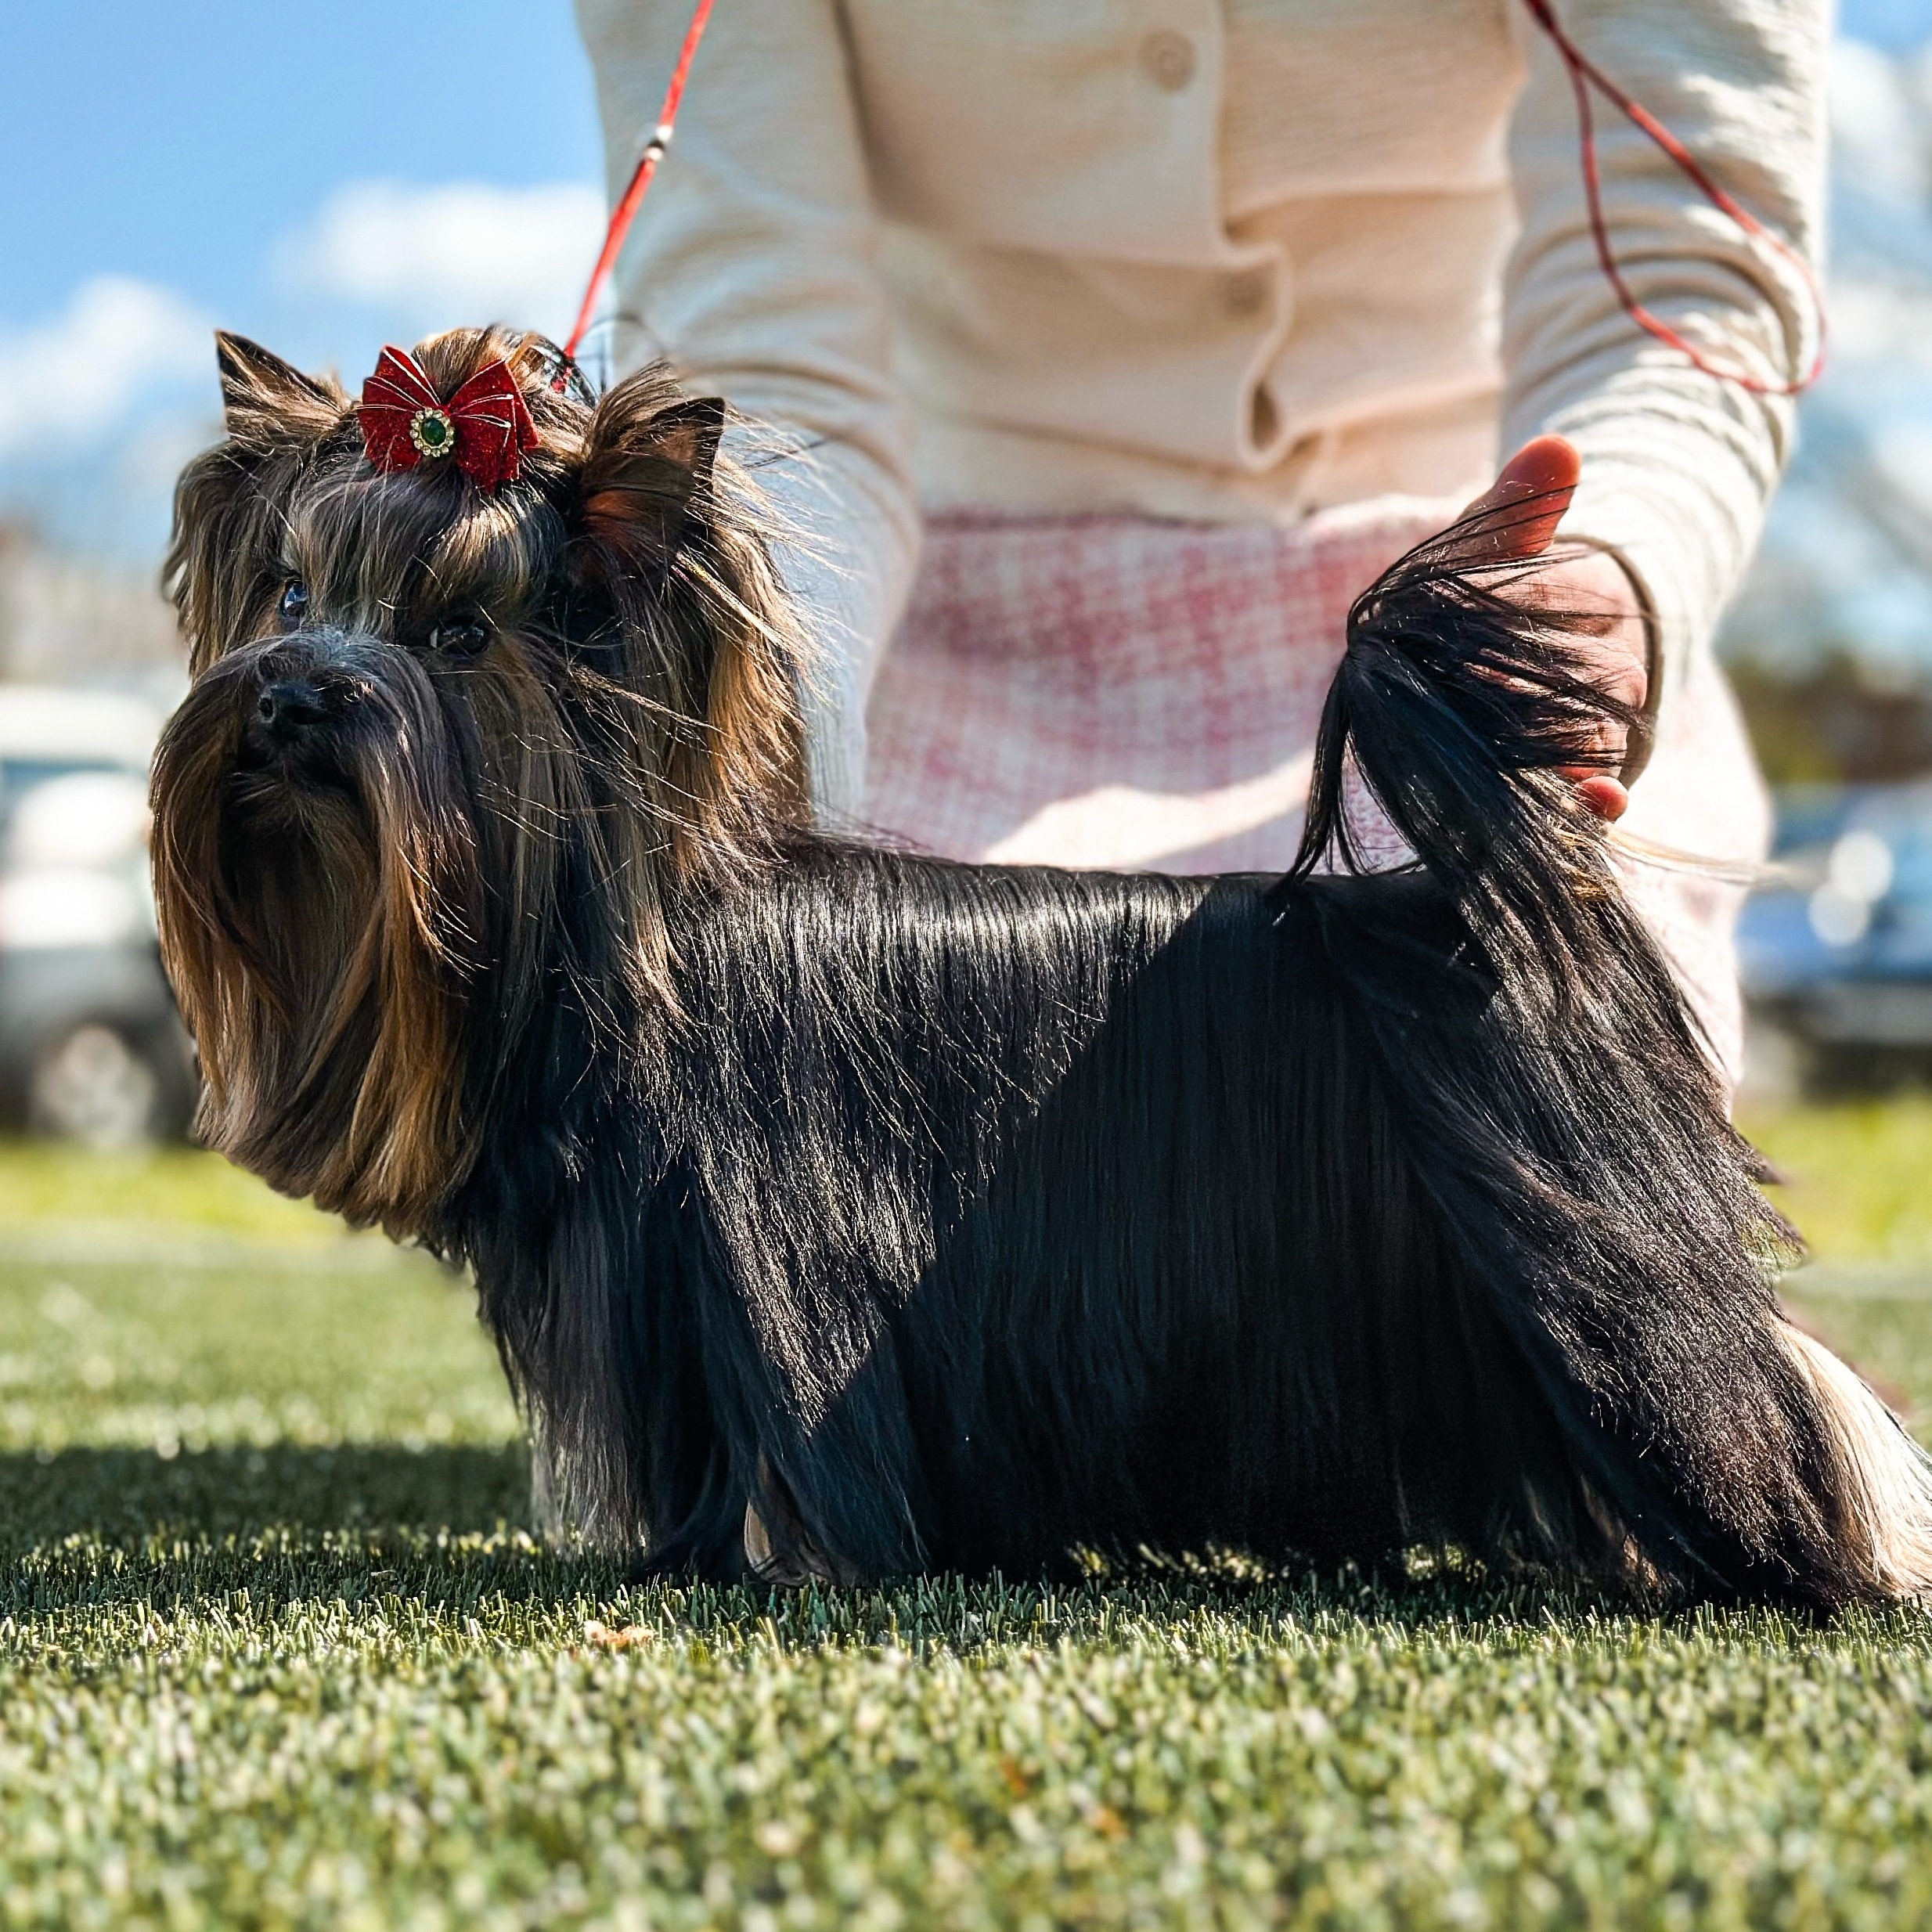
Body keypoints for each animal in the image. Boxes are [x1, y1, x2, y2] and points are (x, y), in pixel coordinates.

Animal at [150, 328, 1932, 1599]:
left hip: (1591, 1264)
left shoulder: (776, 1273)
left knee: (1750, 1380)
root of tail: (1495, 887)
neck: (611, 935)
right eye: (293, 592)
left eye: (462, 635)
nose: (290, 698)